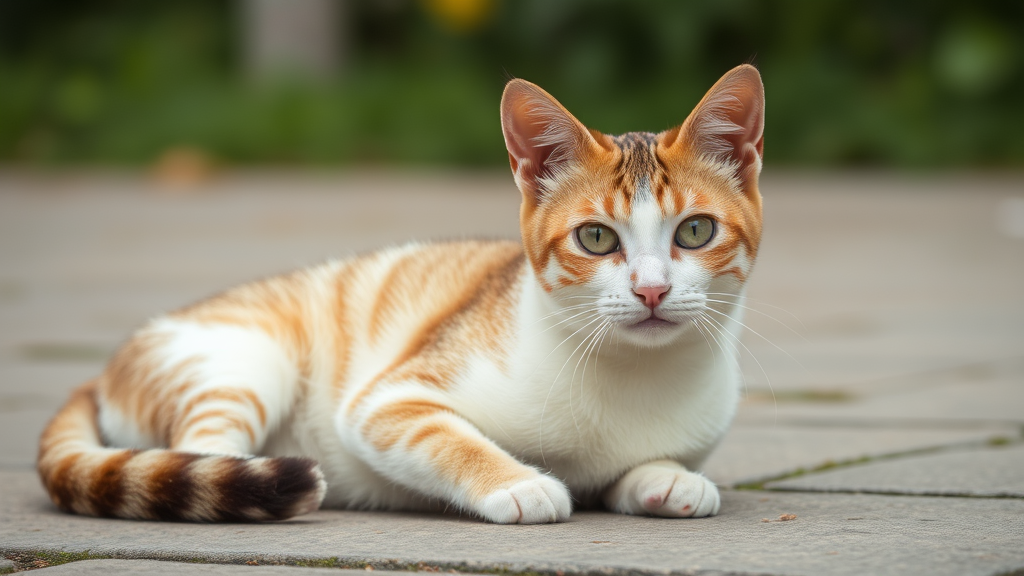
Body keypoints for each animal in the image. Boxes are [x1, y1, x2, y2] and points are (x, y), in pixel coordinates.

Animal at [37, 62, 761, 520]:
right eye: (596, 239)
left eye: (695, 230)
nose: (651, 291)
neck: (634, 375)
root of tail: (104, 370)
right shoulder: (386, 401)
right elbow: (448, 437)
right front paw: (519, 482)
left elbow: (630, 469)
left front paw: (667, 477)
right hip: (243, 365)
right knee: (192, 454)